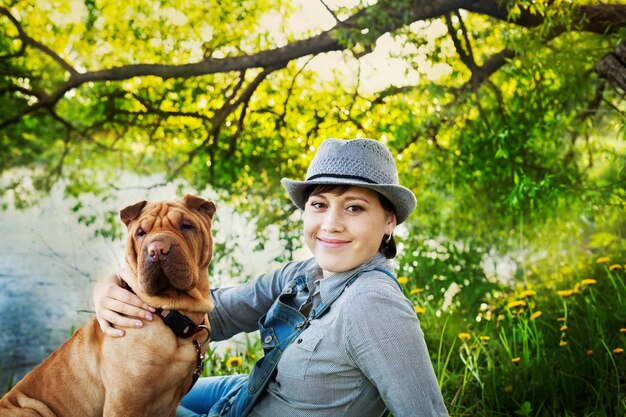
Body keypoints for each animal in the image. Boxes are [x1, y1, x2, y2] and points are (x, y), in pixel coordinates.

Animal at [0, 195, 216, 416]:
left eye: (186, 226)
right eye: (141, 233)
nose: (157, 249)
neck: (171, 314)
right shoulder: (124, 402)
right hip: (30, 410)